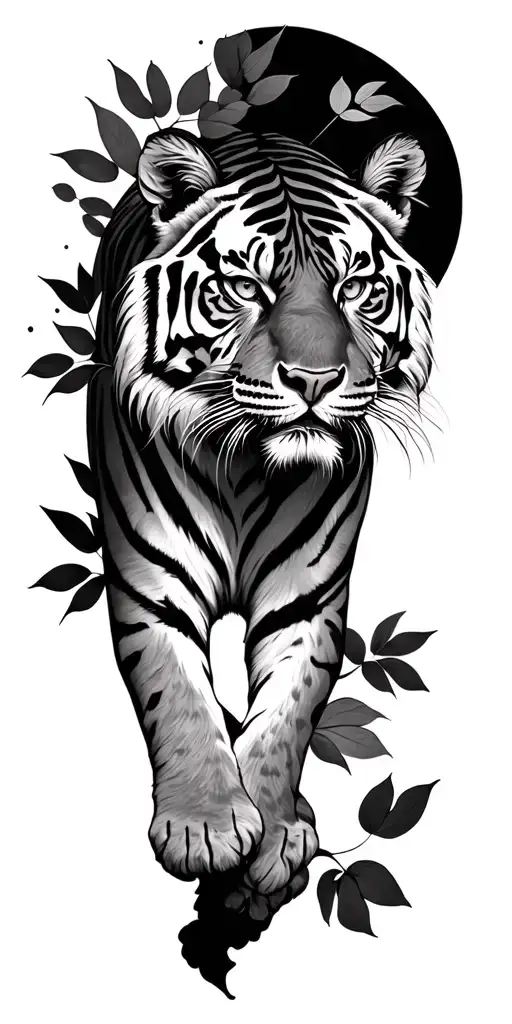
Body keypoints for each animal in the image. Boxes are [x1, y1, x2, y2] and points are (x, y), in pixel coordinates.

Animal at [88, 127, 434, 904]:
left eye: (354, 287)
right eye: (246, 287)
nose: (314, 380)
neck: (251, 470)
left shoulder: (306, 603)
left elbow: (285, 718)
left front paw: (273, 830)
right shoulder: (153, 586)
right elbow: (179, 695)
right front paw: (206, 827)